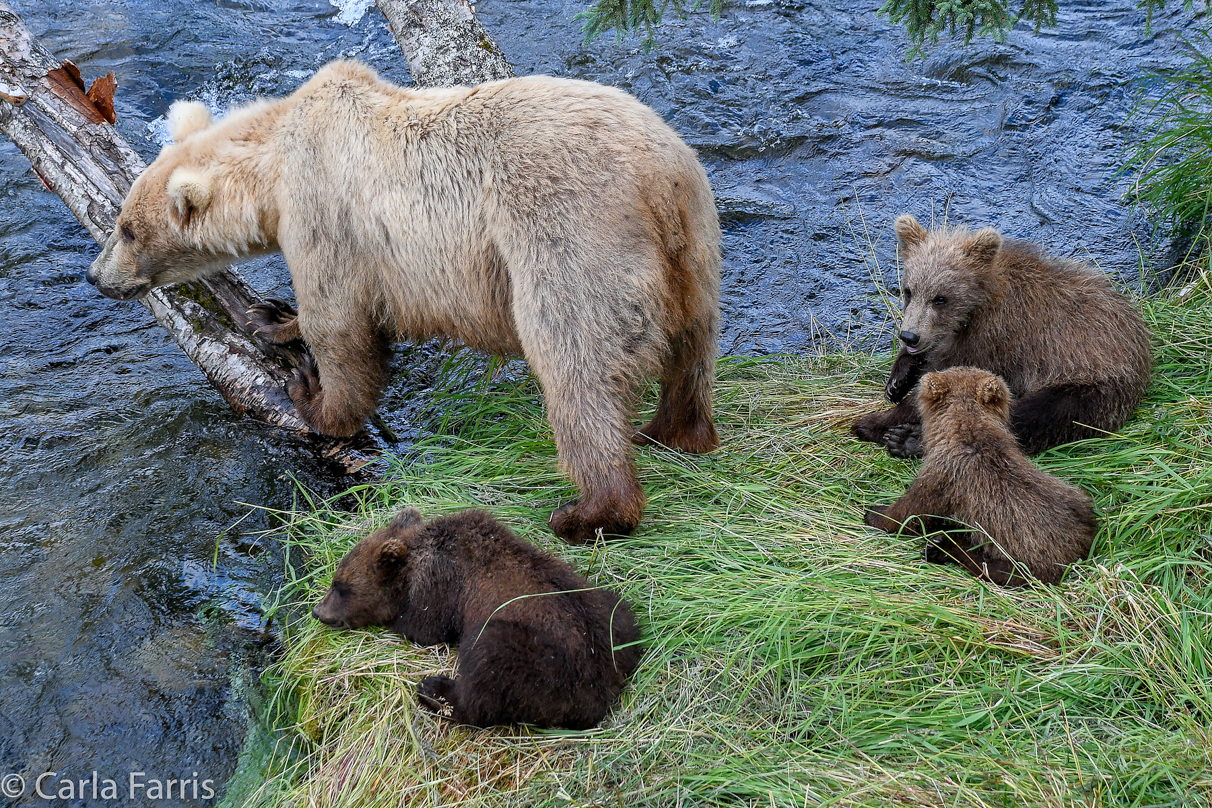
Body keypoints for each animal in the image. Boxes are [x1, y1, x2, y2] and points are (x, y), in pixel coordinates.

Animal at [92, 61, 727, 542]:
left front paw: (309, 390)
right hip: (694, 244)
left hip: (570, 237)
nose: (98, 276)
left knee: (577, 365)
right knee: (692, 348)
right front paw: (273, 315)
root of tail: (660, 180)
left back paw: (587, 510)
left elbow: (340, 324)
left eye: (126, 228)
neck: (272, 170)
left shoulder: (325, 215)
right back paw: (672, 430)